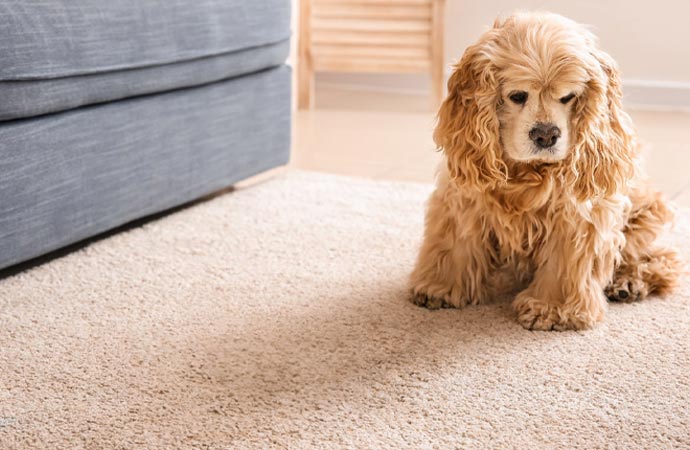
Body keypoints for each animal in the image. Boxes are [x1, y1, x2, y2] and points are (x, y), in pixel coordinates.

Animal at [406, 11, 680, 330]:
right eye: (517, 96)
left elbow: (565, 263)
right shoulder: (464, 198)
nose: (546, 135)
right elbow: (454, 244)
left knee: (662, 258)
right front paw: (439, 287)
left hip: (644, 214)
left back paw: (627, 283)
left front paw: (552, 309)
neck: (525, 172)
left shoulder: (577, 215)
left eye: (568, 96)